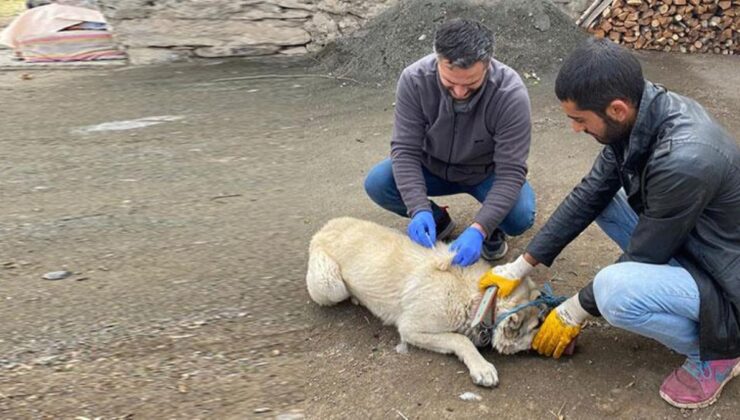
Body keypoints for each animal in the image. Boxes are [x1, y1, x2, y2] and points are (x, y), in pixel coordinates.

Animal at [304, 218, 548, 386]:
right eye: (536, 325)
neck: (477, 298)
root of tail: (325, 227)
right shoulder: (411, 329)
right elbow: (460, 340)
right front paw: (482, 367)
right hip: (332, 286)